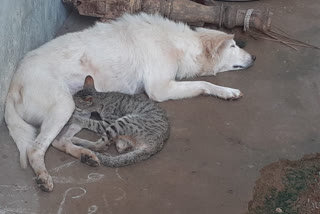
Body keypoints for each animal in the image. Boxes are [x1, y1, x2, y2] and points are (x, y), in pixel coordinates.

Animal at [4, 12, 255, 191]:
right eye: (233, 46)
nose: (254, 57)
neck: (175, 44)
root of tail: (12, 86)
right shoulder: (160, 89)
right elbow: (204, 83)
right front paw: (227, 91)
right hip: (65, 105)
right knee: (35, 149)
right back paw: (44, 178)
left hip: (81, 108)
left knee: (60, 141)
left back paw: (86, 155)